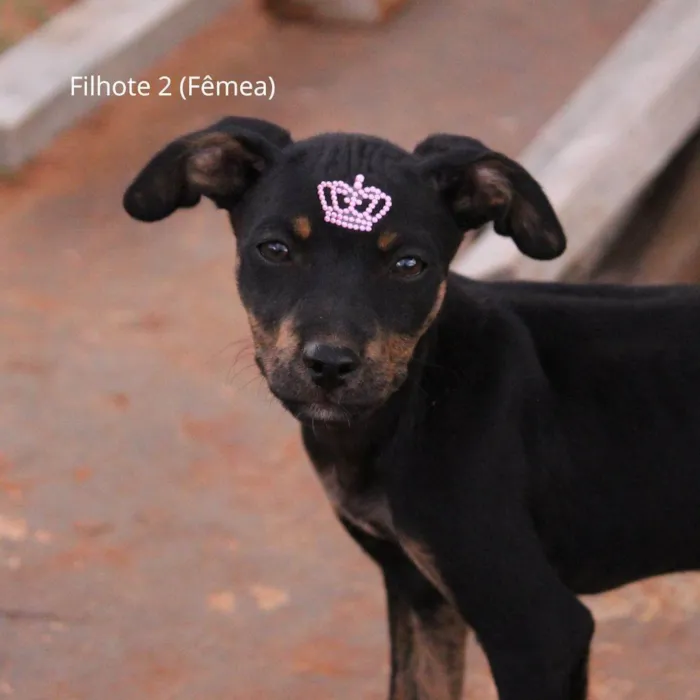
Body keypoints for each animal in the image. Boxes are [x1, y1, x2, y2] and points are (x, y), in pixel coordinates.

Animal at [123, 115, 700, 700]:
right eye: (275, 250)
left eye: (409, 265)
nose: (329, 365)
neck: (411, 408)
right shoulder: (417, 588)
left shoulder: (538, 630)